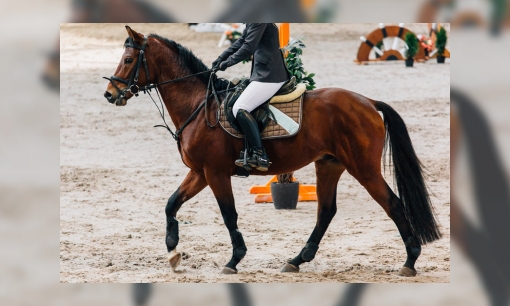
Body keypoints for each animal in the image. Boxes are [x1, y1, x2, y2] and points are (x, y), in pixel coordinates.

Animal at [103, 25, 442, 274]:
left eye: (129, 60)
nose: (109, 94)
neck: (198, 106)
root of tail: (369, 102)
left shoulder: (215, 172)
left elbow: (228, 214)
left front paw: (234, 259)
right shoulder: (199, 172)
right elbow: (171, 204)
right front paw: (173, 250)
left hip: (363, 168)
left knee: (392, 204)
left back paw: (410, 261)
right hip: (329, 164)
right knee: (326, 211)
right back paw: (297, 260)